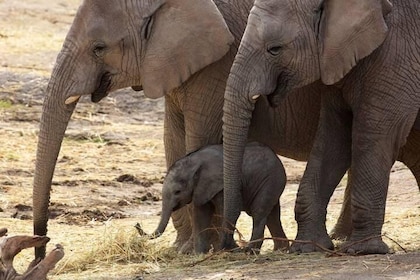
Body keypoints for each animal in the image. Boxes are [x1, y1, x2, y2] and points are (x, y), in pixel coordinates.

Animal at [139, 142, 288, 254]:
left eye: (177, 191)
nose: (137, 225)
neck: (194, 163)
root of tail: (277, 159)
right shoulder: (200, 188)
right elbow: (201, 214)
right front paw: (199, 254)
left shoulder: (221, 184)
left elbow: (225, 210)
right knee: (273, 215)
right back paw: (280, 250)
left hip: (270, 180)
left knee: (259, 212)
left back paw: (249, 251)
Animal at [221, 0, 418, 255]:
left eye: (274, 49)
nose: (233, 245)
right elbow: (333, 137)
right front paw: (309, 247)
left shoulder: (397, 53)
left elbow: (373, 134)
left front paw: (364, 250)